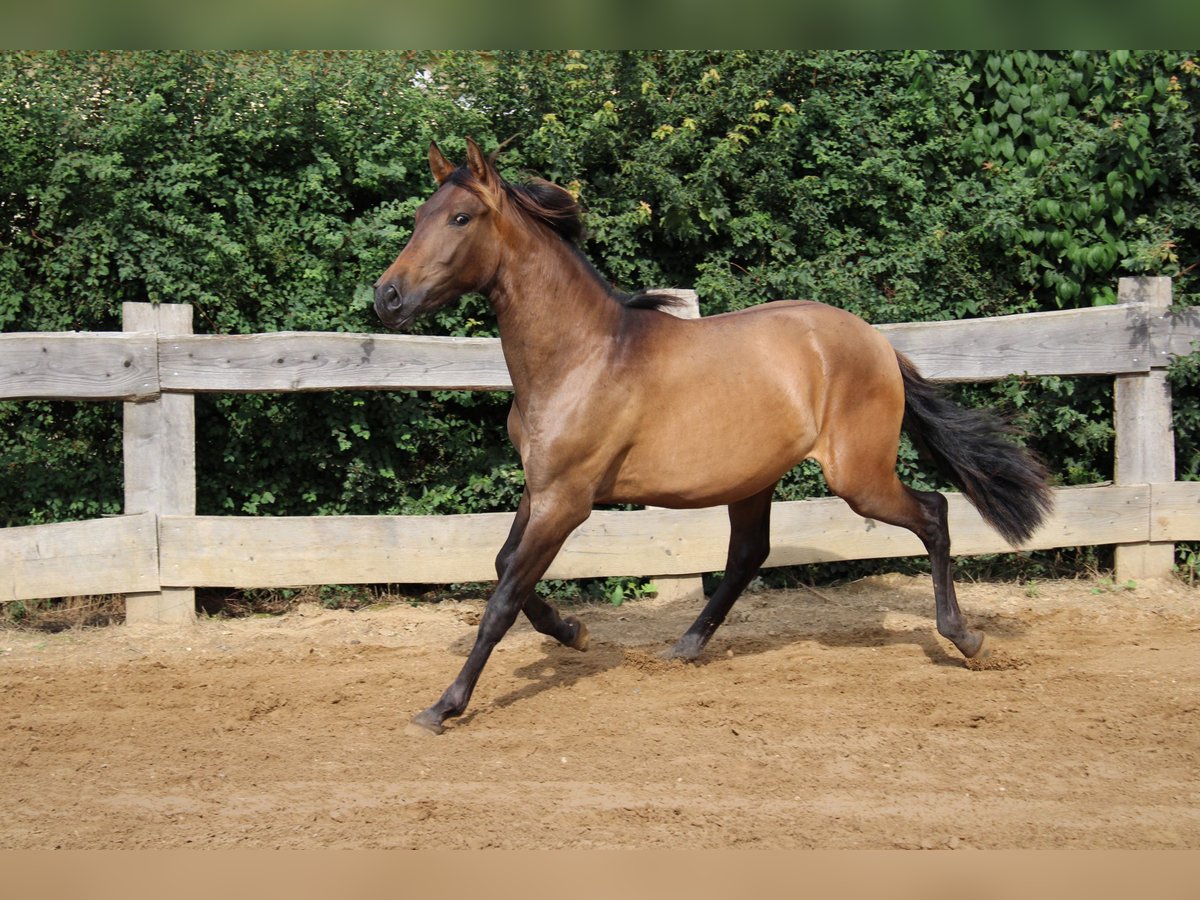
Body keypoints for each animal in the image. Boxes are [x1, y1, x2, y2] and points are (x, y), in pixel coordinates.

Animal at [374, 139, 1051, 734]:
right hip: (755, 478)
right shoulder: (539, 489)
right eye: (420, 215)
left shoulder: (568, 499)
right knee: (749, 553)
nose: (387, 296)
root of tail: (879, 344)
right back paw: (686, 645)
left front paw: (443, 708)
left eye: (460, 218)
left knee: (933, 513)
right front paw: (573, 632)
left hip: (858, 476)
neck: (580, 356)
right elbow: (504, 567)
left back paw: (965, 637)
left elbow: (503, 599)